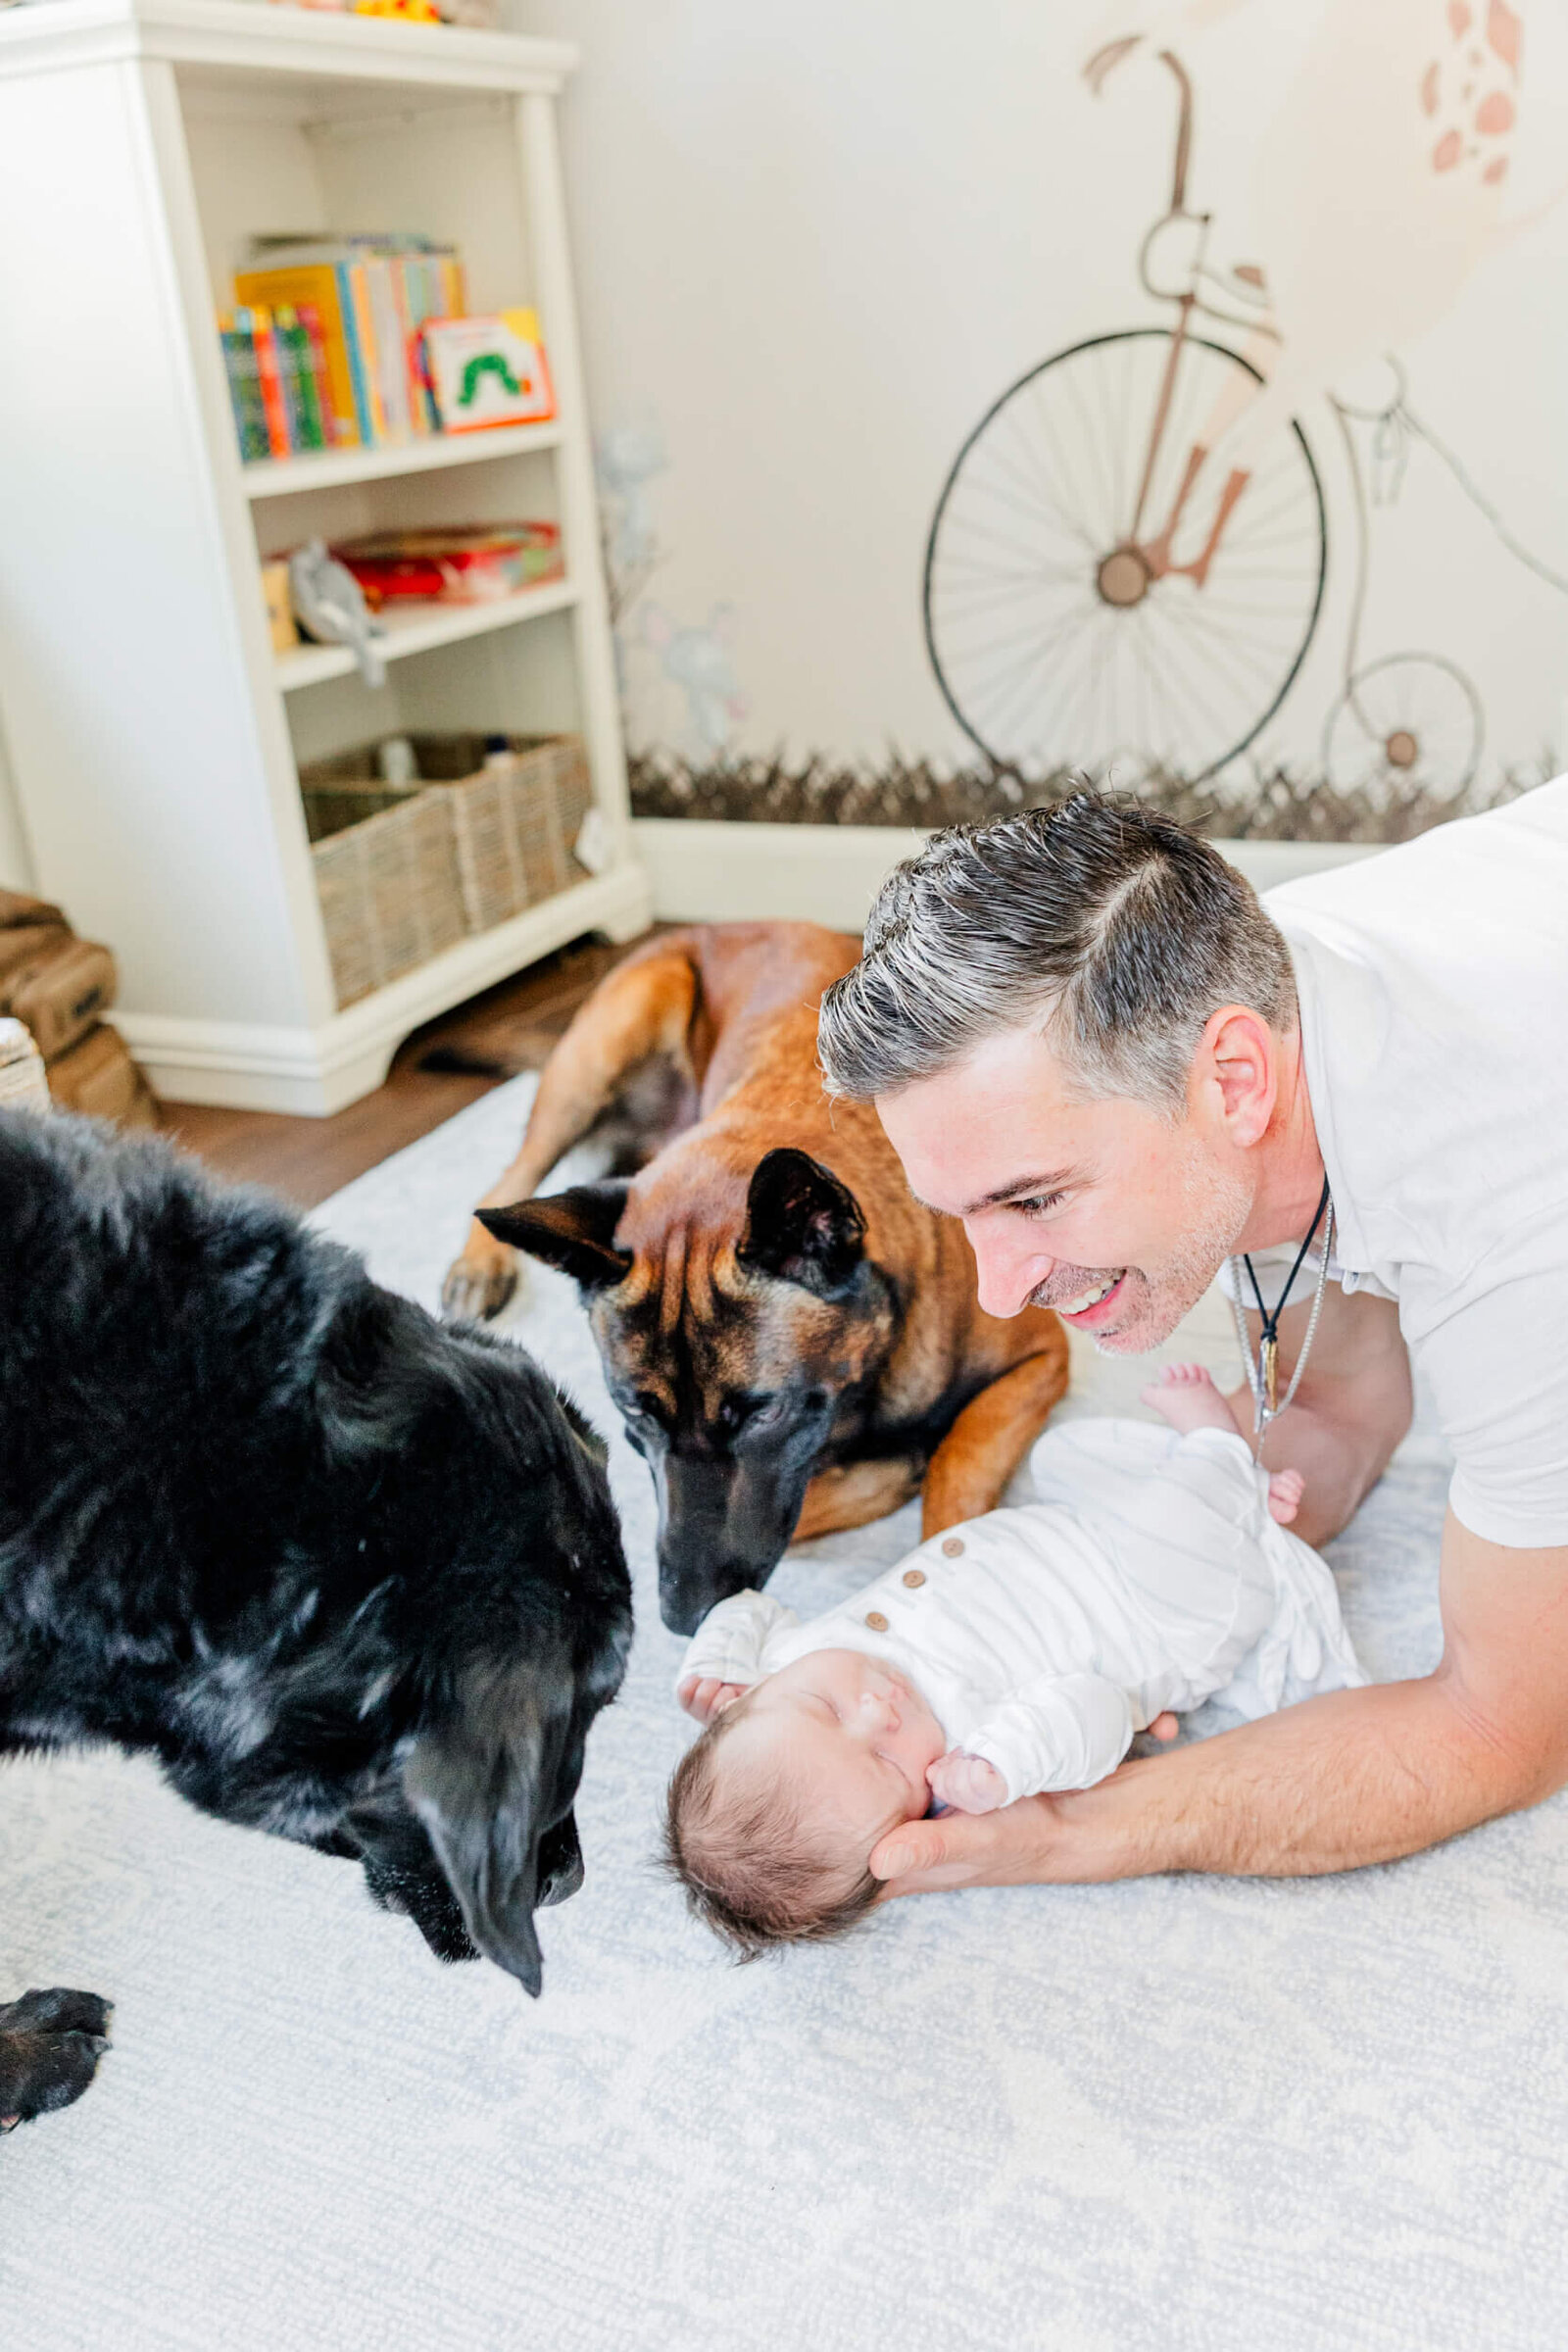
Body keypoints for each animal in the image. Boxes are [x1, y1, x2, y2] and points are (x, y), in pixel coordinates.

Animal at [446, 921, 1071, 1637]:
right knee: (513, 1170)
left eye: (764, 1413)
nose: (682, 1619)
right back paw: (479, 1262)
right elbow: (818, 1498)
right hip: (605, 1047)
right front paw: (893, 1469)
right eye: (635, 1413)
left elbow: (955, 1463)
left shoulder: (1042, 1358)